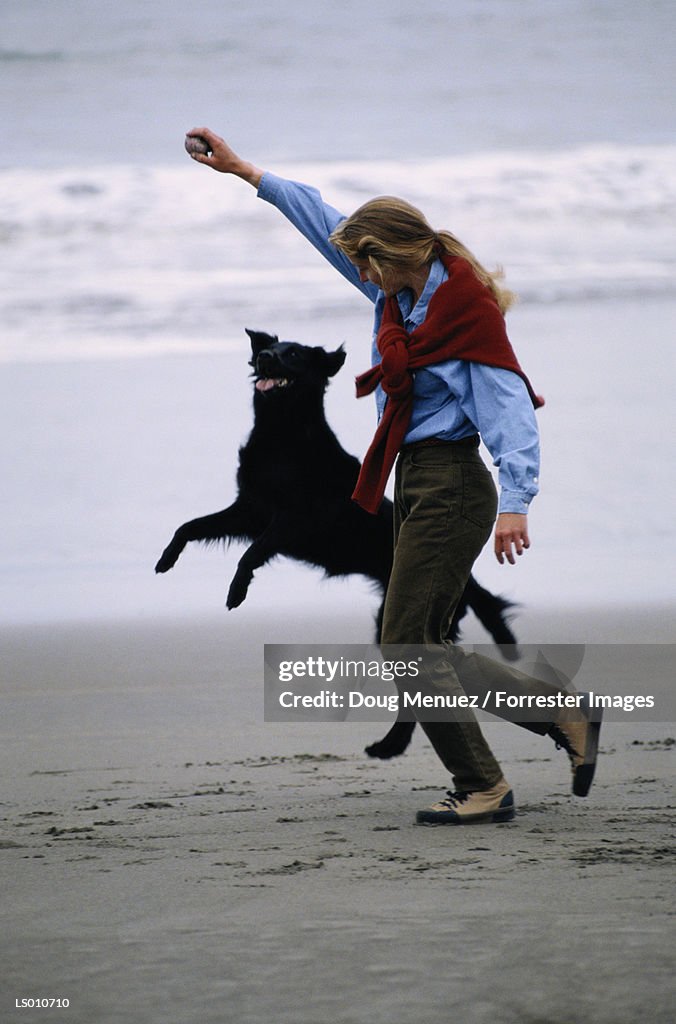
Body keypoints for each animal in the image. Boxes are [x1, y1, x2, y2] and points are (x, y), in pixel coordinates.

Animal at [156, 329, 518, 761]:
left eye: (294, 355)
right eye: (270, 348)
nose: (264, 357)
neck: (281, 435)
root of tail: (465, 578)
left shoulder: (293, 520)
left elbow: (251, 552)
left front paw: (236, 591)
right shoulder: (248, 510)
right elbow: (190, 526)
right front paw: (166, 559)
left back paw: (389, 745)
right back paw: (390, 745)